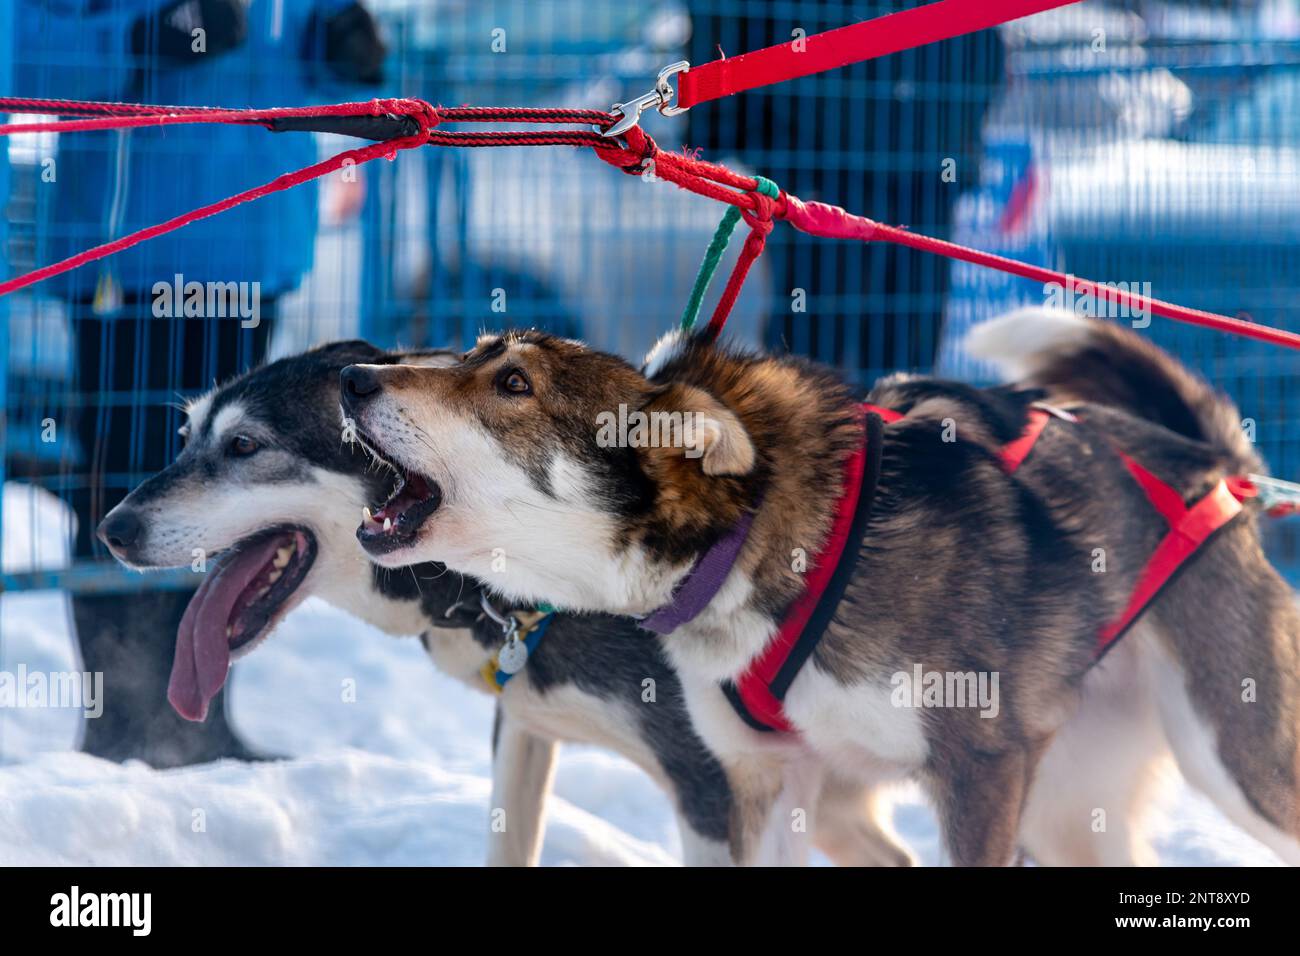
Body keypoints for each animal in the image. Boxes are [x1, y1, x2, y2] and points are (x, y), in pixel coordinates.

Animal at [340, 312, 1300, 868]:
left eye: (514, 383)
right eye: (473, 352)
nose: (353, 378)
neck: (753, 534)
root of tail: (1215, 464)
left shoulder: (978, 770)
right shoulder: (763, 780)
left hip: (1231, 756)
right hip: (1066, 808)